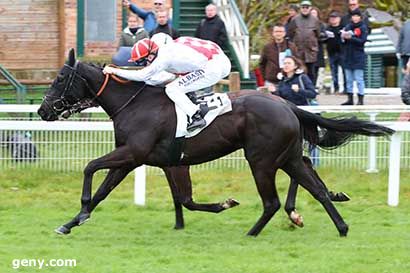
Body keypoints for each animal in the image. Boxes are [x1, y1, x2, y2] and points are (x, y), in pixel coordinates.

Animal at [37, 50, 394, 236]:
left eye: (59, 79)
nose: (42, 110)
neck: (135, 104)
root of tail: (287, 105)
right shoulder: (149, 160)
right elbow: (112, 192)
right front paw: (71, 222)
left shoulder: (132, 153)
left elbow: (90, 168)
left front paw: (80, 212)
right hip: (287, 156)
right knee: (314, 185)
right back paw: (341, 226)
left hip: (262, 160)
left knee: (273, 201)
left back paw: (252, 233)